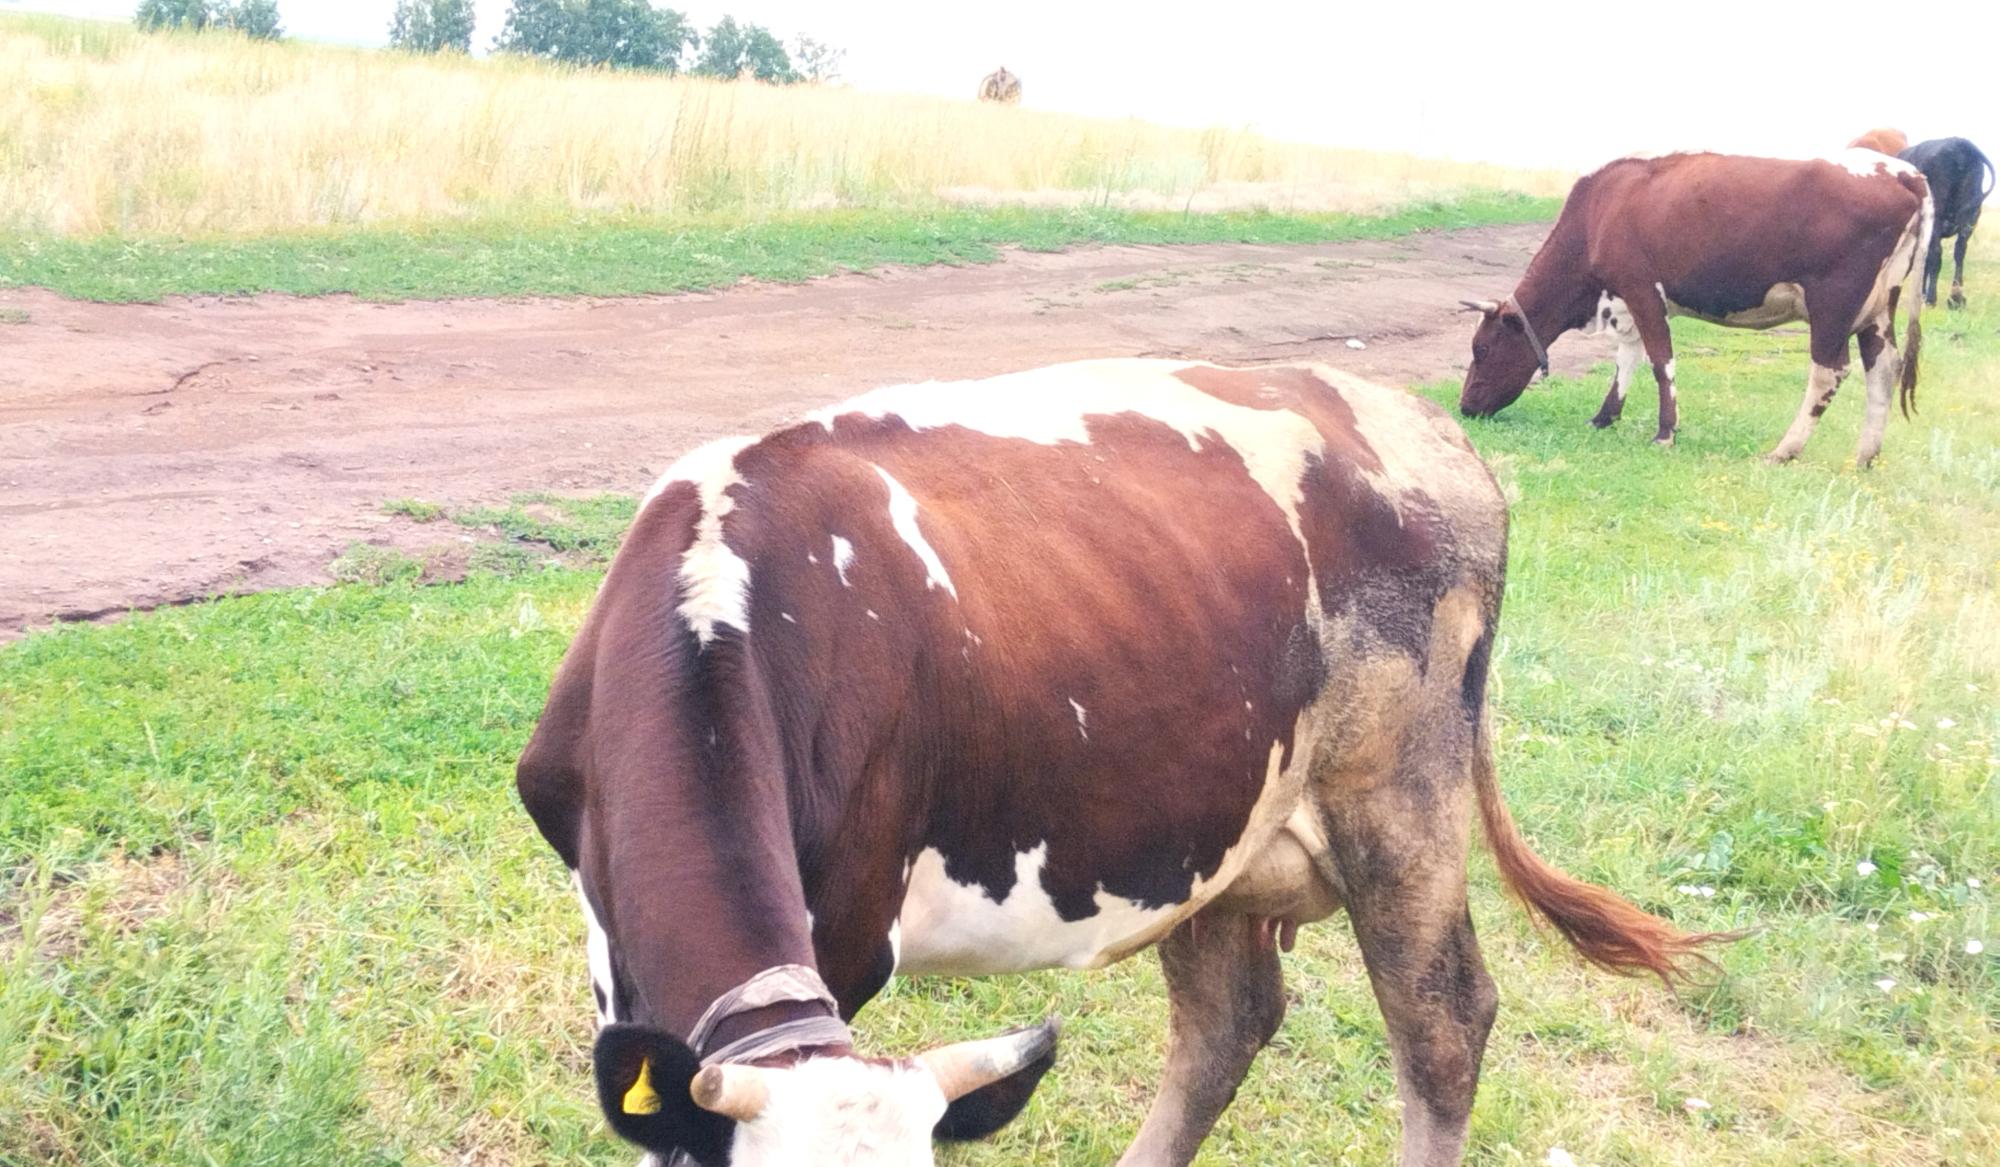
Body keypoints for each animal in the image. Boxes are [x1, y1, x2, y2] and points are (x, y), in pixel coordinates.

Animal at [516, 355, 1720, 1167]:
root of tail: (1429, 424)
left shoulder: (850, 926)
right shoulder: (609, 929)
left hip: (1398, 793)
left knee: (1440, 1024)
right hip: (1215, 836)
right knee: (1228, 1022)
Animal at [1456, 150, 1936, 469]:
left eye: (1481, 350)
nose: (1465, 407)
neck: (1600, 209)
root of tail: (1902, 171)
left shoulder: (1641, 288)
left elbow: (1660, 362)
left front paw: (1665, 433)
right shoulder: (1626, 299)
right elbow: (1626, 360)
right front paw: (1604, 417)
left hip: (1834, 305)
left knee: (1830, 371)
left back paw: (1785, 450)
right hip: (1878, 310)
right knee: (1884, 368)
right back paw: (1866, 456)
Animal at [1896, 135, 1992, 307]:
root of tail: (1960, 143)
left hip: (1937, 216)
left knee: (1936, 254)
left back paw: (1932, 298)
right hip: (1970, 216)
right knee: (1959, 251)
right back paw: (1956, 298)